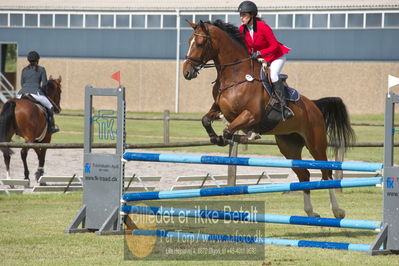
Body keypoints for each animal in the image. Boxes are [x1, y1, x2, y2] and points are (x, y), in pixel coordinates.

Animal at [183, 20, 354, 219]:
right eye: (188, 41)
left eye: (200, 43)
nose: (186, 72)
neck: (235, 75)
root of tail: (313, 105)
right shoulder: (218, 109)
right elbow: (207, 120)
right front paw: (215, 137)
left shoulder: (251, 114)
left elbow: (228, 130)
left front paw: (248, 135)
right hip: (289, 146)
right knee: (304, 175)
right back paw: (310, 212)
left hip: (316, 144)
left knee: (326, 173)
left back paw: (337, 210)